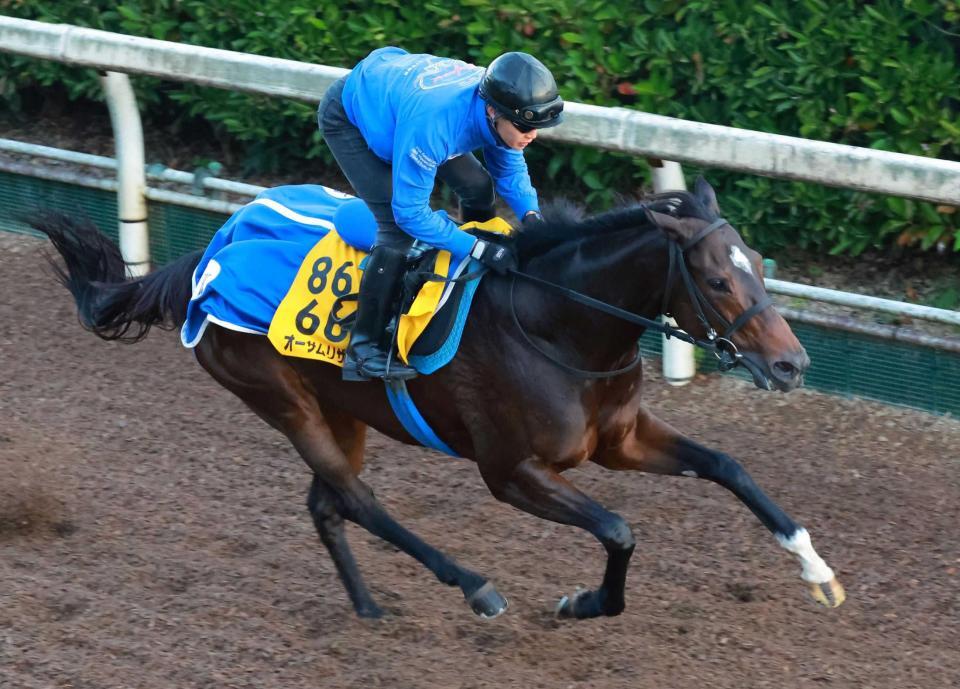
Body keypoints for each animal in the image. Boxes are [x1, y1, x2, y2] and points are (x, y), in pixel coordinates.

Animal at [31, 176, 845, 620]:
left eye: (759, 263)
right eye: (716, 279)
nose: (792, 364)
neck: (559, 321)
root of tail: (206, 256)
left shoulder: (619, 438)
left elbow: (728, 465)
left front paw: (818, 570)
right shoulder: (511, 472)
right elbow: (618, 530)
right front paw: (581, 602)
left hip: (343, 408)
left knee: (326, 503)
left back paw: (368, 607)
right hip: (280, 397)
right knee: (357, 500)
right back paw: (474, 587)